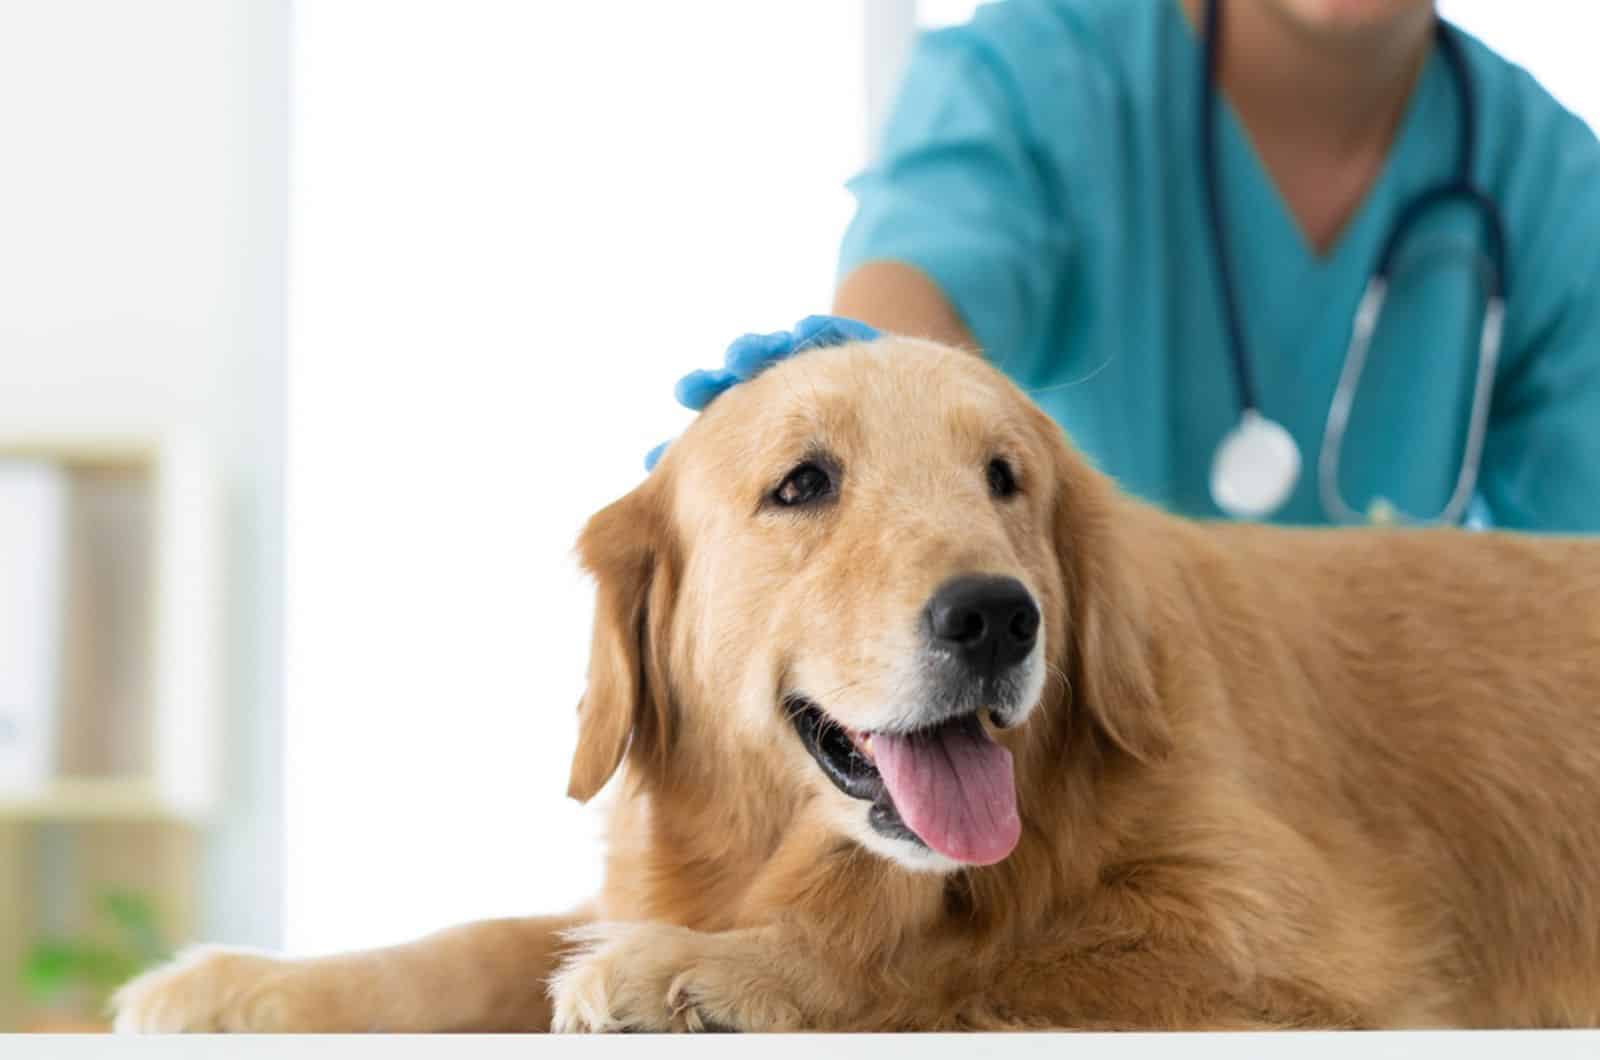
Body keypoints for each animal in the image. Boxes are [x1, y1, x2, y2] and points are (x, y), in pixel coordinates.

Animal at [109, 336, 1600, 1031]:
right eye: (803, 484)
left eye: (1005, 478)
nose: (997, 617)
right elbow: (482, 941)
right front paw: (239, 983)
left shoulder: (1304, 948)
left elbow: (963, 955)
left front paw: (704, 973)